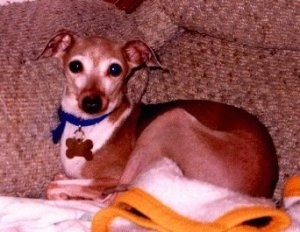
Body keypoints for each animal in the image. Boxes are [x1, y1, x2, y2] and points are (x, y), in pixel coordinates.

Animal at [39, 30, 278, 201]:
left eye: (115, 69)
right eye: (75, 66)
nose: (92, 103)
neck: (87, 125)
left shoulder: (112, 176)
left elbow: (55, 185)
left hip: (167, 121)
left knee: (111, 201)